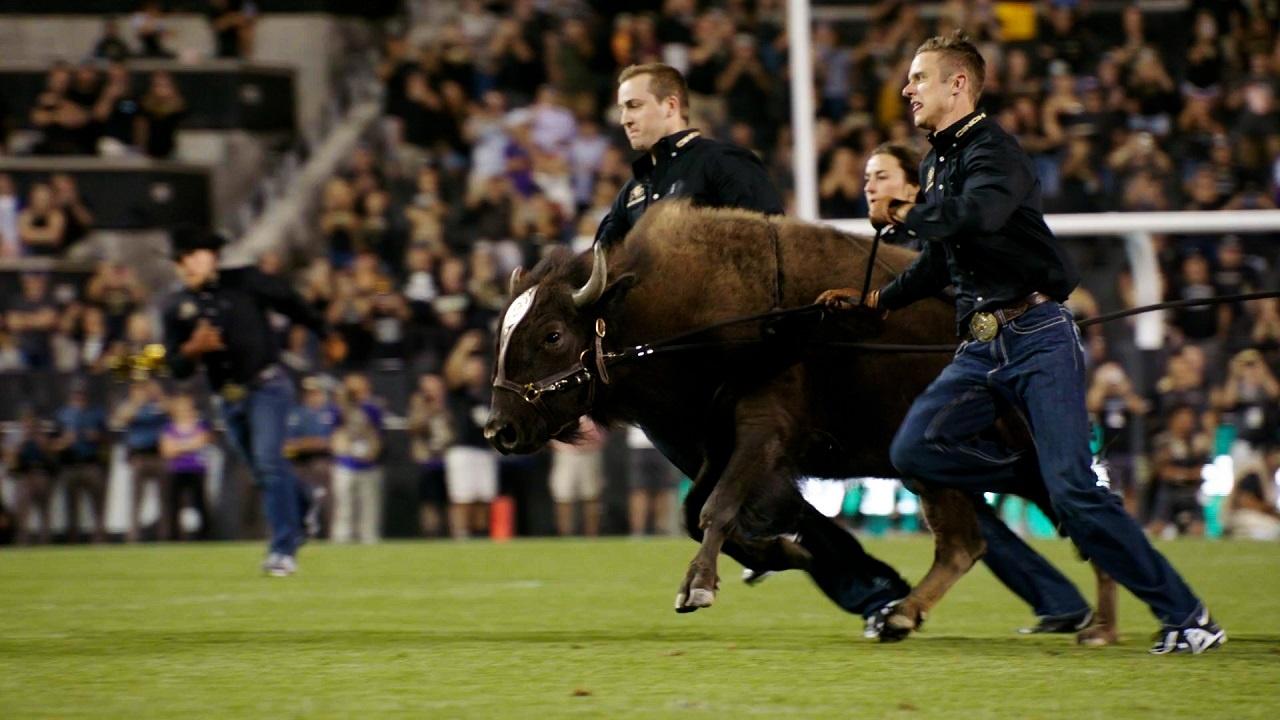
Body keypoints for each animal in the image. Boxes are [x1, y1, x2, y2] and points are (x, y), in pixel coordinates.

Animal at [483, 198, 1116, 640]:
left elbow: (715, 509)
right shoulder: (717, 444)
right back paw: (900, 615)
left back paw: (1100, 626)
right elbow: (695, 511)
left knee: (1079, 507)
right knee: (969, 541)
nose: (498, 430)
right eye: (504, 330)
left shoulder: (762, 434)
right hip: (931, 469)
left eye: (552, 334)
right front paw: (786, 555)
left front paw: (698, 588)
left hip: (1015, 449)